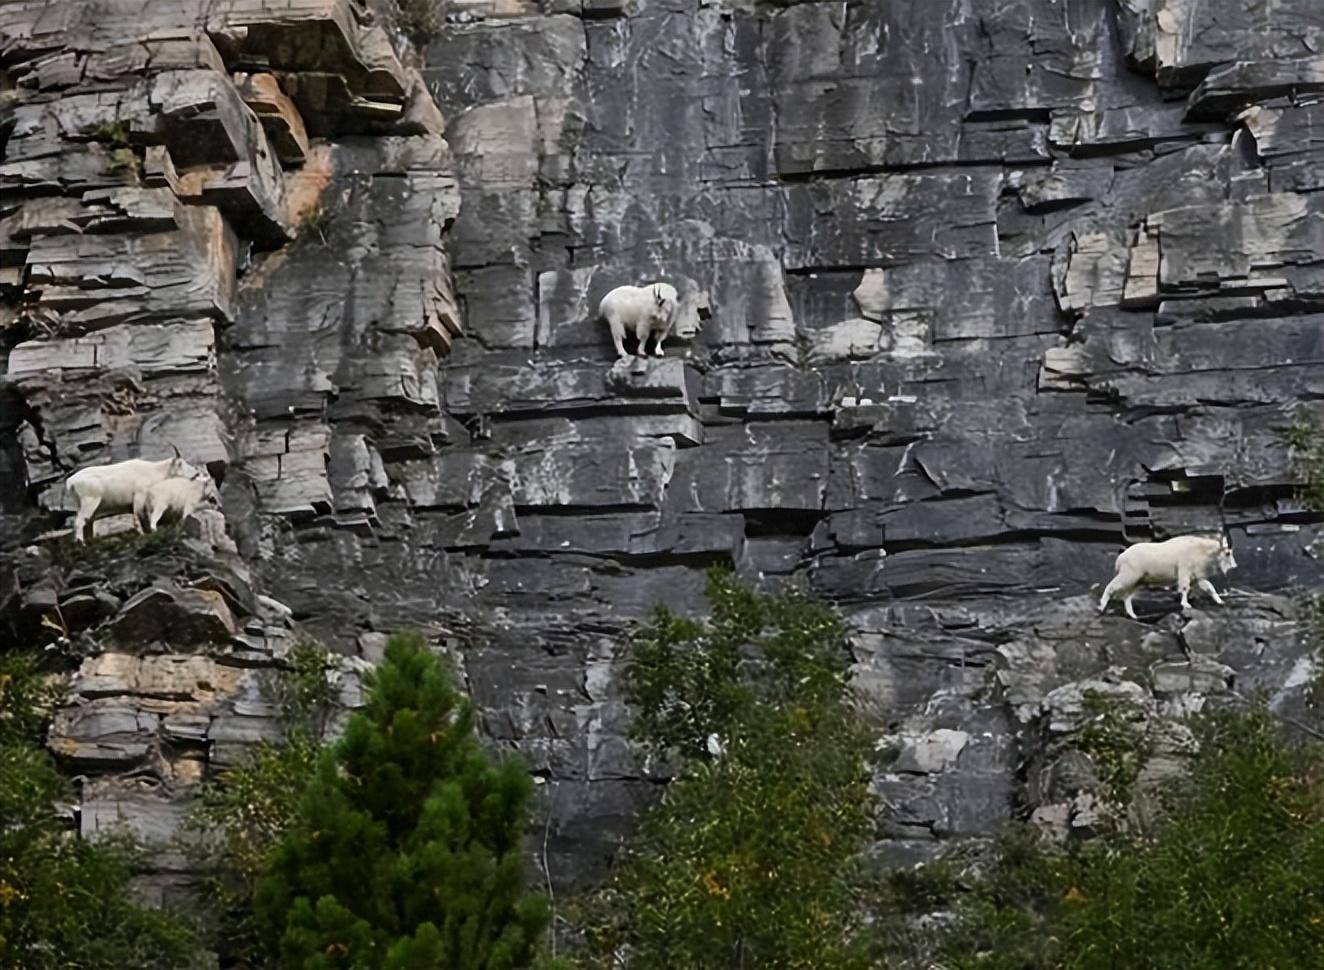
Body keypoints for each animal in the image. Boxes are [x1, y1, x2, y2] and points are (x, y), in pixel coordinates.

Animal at [63, 447, 195, 539]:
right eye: (180, 464)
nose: (196, 473)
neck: (152, 471)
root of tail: (70, 482)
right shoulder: (139, 496)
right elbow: (138, 516)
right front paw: (143, 534)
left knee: (88, 523)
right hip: (89, 502)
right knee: (79, 522)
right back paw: (82, 544)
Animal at [1101, 534, 1233, 616]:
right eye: (1227, 553)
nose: (1233, 567)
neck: (1198, 549)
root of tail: (1120, 558)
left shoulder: (1197, 576)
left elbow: (1210, 587)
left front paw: (1220, 602)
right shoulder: (1184, 570)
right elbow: (1185, 588)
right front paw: (1186, 604)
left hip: (1138, 580)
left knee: (1127, 596)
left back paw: (1133, 615)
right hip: (1129, 575)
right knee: (1111, 586)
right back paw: (1101, 606)